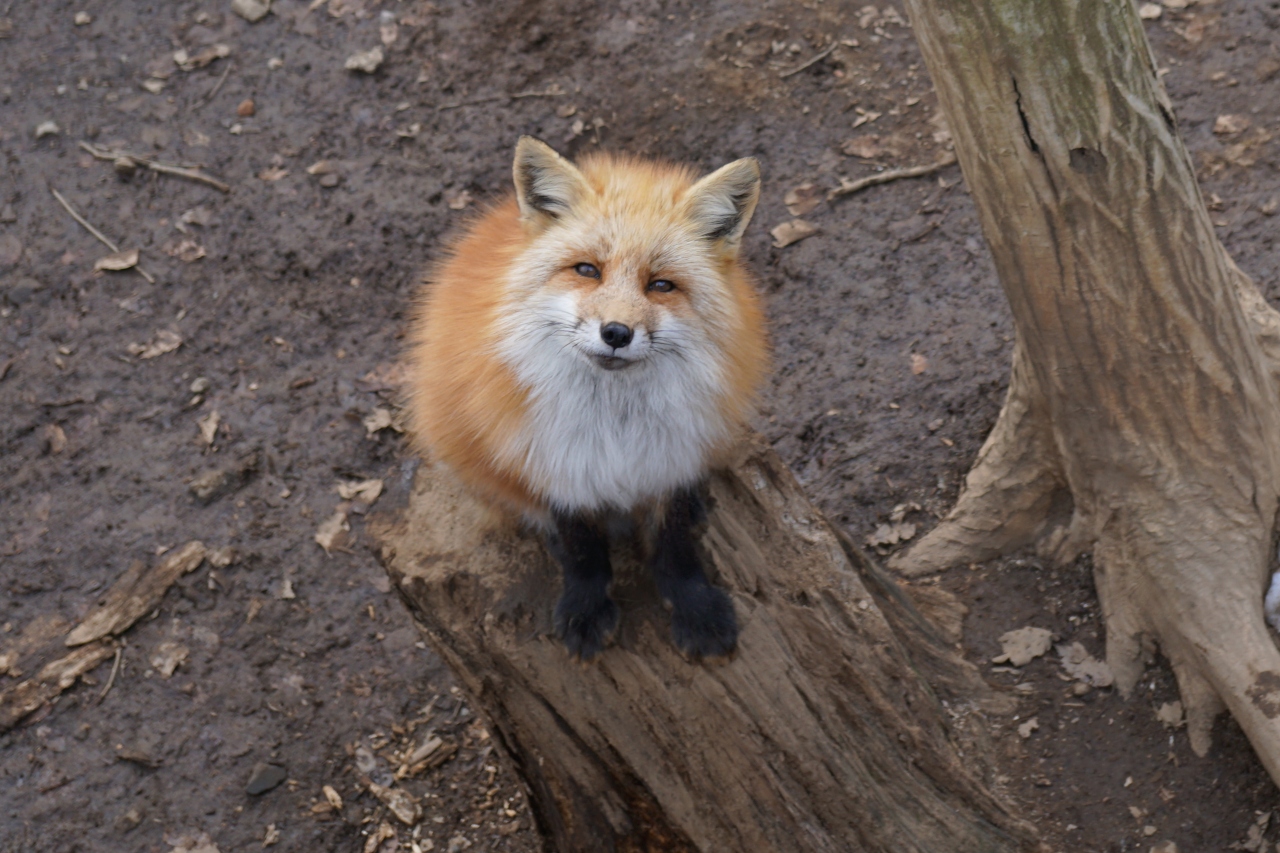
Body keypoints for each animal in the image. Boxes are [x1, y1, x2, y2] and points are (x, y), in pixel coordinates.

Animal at [409, 137, 768, 655]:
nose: (616, 332)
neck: (613, 424)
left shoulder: (674, 455)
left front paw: (696, 609)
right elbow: (581, 548)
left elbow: (675, 545)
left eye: (661, 285)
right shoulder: (551, 459)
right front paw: (586, 608)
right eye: (587, 270)